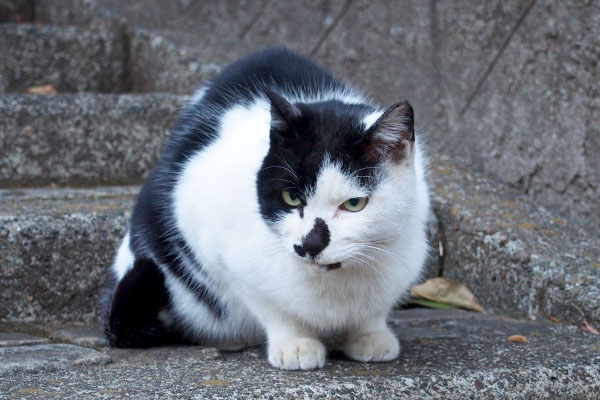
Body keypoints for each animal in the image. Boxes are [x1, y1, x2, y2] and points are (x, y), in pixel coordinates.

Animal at [104, 48, 432, 370]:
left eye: (354, 204)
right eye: (291, 198)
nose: (310, 244)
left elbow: (374, 310)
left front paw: (370, 336)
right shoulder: (216, 245)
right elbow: (270, 305)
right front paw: (295, 343)